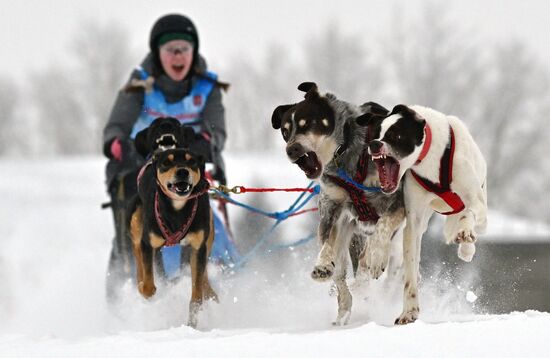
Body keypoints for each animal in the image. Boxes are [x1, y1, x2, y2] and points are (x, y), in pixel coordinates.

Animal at [129, 117, 218, 328]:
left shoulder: (198, 245)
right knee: (138, 260)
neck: (177, 209)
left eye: (191, 161)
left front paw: (192, 321)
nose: (183, 172)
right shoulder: (148, 242)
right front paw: (147, 289)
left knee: (203, 275)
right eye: (166, 164)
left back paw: (210, 291)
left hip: (208, 236)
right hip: (136, 227)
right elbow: (148, 284)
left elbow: (196, 294)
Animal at [272, 82, 408, 326]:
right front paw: (323, 265)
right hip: (349, 233)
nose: (292, 149)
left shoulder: (396, 201)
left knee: (385, 268)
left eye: (308, 123)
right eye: (286, 132)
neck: (345, 155)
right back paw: (345, 306)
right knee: (342, 275)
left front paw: (374, 259)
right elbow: (328, 241)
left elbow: (382, 230)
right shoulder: (333, 209)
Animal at [360, 104, 490, 324]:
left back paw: (466, 247)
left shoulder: (476, 202)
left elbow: (469, 212)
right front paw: (409, 311)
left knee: (472, 222)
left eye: (396, 135)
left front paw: (464, 232)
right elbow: (410, 271)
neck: (432, 160)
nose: (374, 144)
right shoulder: (414, 220)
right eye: (376, 133)